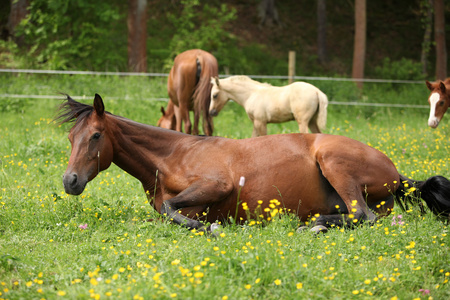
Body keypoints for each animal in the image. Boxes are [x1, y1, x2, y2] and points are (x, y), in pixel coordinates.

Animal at [57, 95, 450, 233]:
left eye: (95, 136)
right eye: (70, 137)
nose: (70, 180)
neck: (174, 155)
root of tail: (397, 174)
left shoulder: (218, 185)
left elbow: (172, 210)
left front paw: (210, 229)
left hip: (334, 162)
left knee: (362, 216)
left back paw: (315, 226)